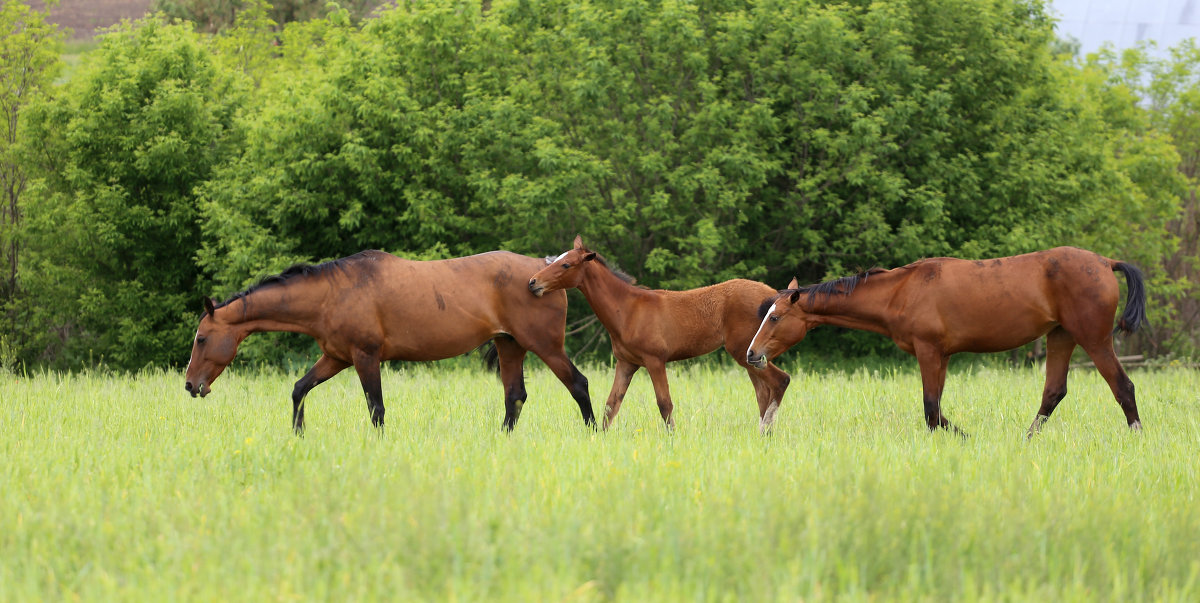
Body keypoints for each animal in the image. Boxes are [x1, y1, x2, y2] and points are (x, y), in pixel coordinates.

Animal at [183, 249, 595, 432]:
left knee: (578, 383)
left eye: (201, 339)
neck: (332, 294)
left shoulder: (365, 357)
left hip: (545, 346)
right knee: (515, 397)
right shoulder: (336, 357)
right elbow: (300, 388)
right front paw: (298, 434)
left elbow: (376, 410)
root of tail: (544, 273)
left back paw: (594, 432)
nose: (190, 385)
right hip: (509, 345)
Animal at [528, 233, 792, 430]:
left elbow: (665, 404)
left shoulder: (655, 360)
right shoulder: (626, 363)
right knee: (763, 392)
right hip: (750, 357)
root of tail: (773, 296)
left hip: (747, 352)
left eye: (565, 264)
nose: (532, 283)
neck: (628, 309)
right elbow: (611, 405)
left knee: (780, 381)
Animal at [744, 246, 1147, 437]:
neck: (902, 291)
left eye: (775, 317)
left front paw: (964, 437)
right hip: (1060, 336)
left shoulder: (929, 351)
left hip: (1093, 339)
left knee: (1123, 386)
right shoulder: (944, 356)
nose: (752, 354)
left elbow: (930, 409)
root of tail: (1104, 262)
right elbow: (935, 409)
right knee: (1053, 392)